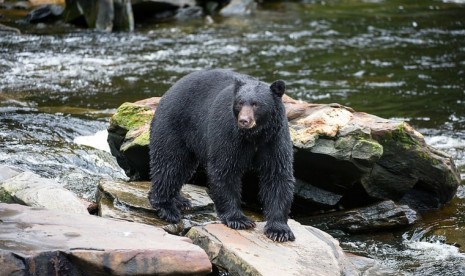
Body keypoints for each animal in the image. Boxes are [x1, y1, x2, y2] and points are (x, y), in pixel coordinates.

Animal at [149, 69, 294, 242]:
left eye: (256, 104)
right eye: (240, 103)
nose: (244, 120)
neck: (254, 136)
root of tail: (169, 91)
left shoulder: (274, 139)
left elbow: (277, 175)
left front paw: (279, 230)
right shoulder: (228, 134)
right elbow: (224, 170)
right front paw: (239, 219)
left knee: (183, 168)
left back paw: (180, 200)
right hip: (174, 126)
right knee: (170, 164)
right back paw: (167, 208)